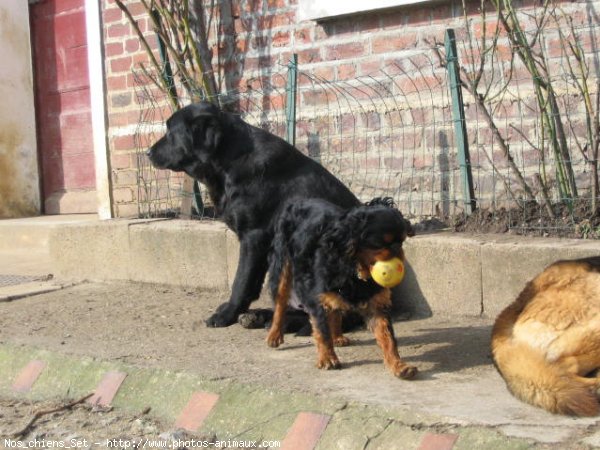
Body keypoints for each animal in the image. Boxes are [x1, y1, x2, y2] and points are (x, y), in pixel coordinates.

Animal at [147, 102, 358, 326]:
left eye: (170, 132)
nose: (147, 152)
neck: (230, 160)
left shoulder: (254, 236)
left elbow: (241, 280)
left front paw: (227, 314)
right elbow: (252, 283)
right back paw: (260, 317)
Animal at [268, 199, 418, 378]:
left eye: (401, 241)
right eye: (379, 244)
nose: (397, 249)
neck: (355, 269)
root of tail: (297, 201)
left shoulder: (377, 306)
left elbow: (387, 337)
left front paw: (398, 365)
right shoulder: (317, 299)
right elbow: (322, 332)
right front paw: (327, 358)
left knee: (335, 311)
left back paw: (338, 337)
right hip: (283, 265)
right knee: (280, 302)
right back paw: (275, 335)